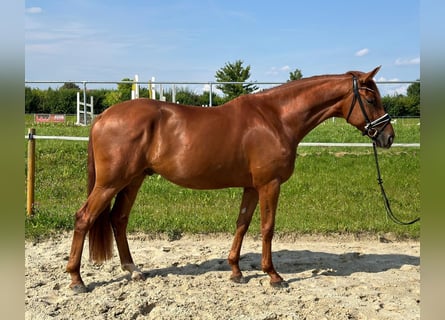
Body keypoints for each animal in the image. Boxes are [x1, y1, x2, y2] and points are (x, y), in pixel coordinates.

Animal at [65, 66, 392, 292]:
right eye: (371, 98)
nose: (388, 137)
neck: (276, 119)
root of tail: (103, 116)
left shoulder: (251, 186)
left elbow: (242, 224)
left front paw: (236, 271)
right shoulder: (269, 185)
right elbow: (267, 228)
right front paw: (273, 276)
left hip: (133, 180)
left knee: (118, 219)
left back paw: (133, 270)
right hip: (110, 183)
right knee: (84, 218)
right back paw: (77, 279)